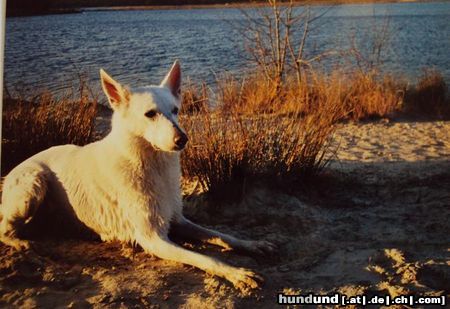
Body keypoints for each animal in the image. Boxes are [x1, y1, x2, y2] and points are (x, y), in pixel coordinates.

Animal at [0, 61, 276, 290]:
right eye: (150, 114)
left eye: (176, 110)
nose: (183, 139)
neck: (152, 165)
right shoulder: (152, 238)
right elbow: (205, 257)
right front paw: (236, 273)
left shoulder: (177, 220)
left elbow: (222, 236)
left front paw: (252, 245)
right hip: (33, 186)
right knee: (4, 229)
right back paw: (24, 245)